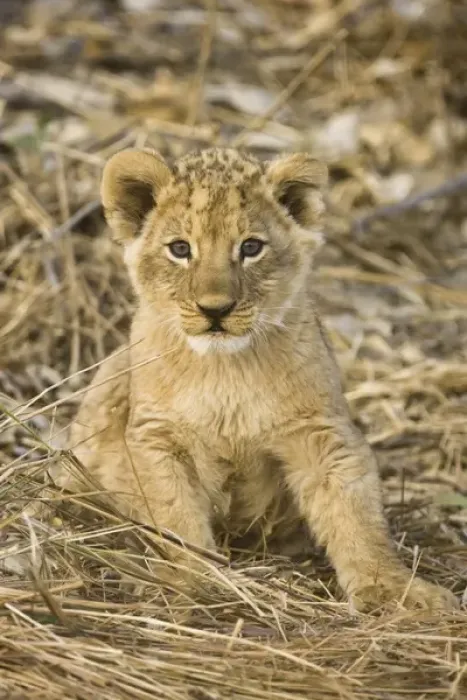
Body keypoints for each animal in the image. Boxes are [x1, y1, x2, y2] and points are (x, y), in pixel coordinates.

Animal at [67, 147, 458, 612]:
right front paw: (191, 580)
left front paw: (394, 590)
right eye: (180, 249)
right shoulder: (155, 436)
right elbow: (176, 515)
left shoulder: (319, 432)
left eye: (251, 247)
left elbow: (354, 514)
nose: (215, 309)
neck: (224, 370)